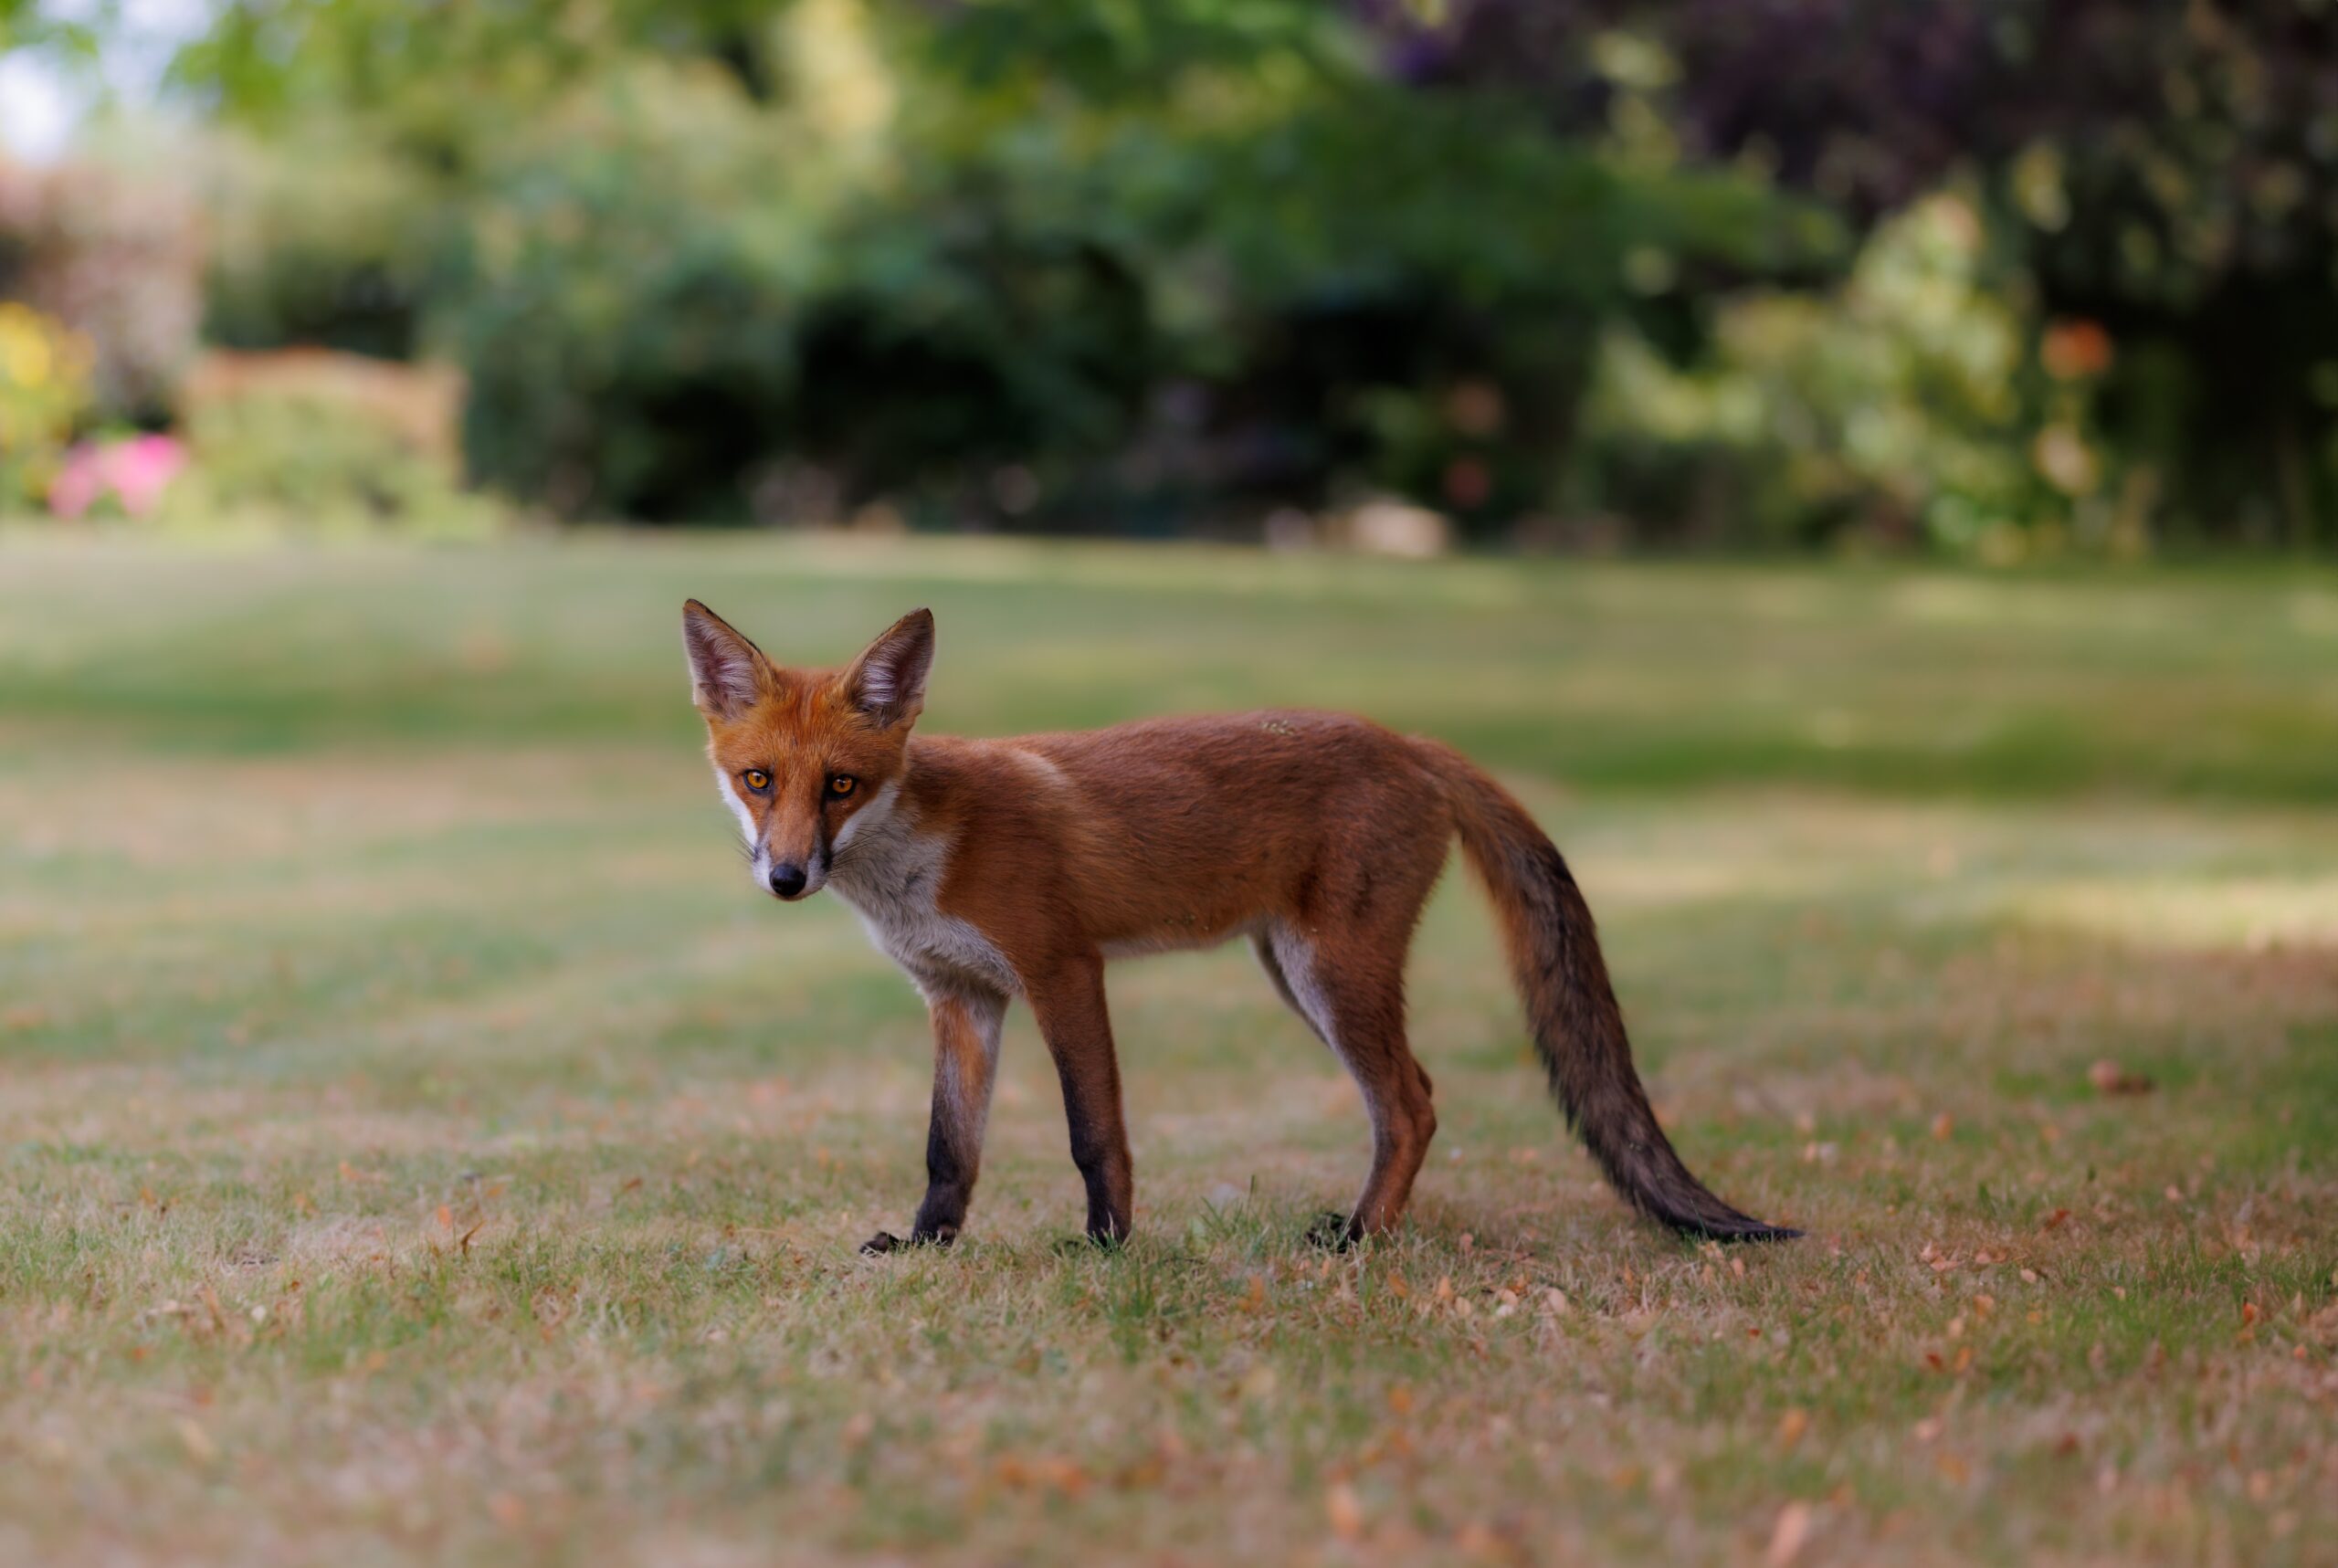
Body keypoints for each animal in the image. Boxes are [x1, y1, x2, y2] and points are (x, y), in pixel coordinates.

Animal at [683, 600, 1795, 1254]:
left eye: (840, 785)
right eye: (759, 780)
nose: (786, 876)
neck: (922, 862)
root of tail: (1411, 740)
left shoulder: (1062, 969)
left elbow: (1094, 1132)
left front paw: (1108, 1250)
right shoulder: (962, 998)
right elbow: (947, 1148)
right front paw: (928, 1246)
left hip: (1330, 973)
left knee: (1411, 1103)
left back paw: (1357, 1240)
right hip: (1294, 976)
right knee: (1418, 1098)